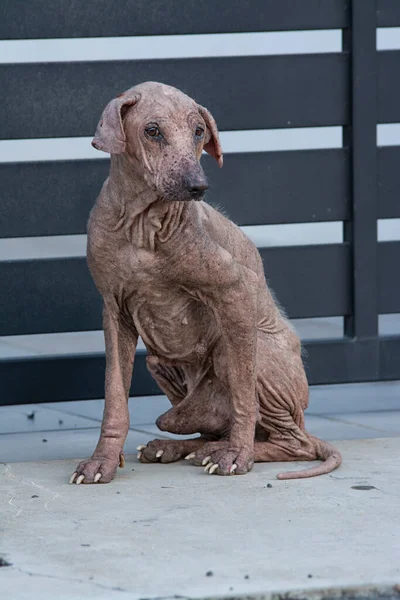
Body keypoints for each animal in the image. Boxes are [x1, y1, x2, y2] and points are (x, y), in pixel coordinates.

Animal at [69, 81, 340, 482]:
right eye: (152, 131)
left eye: (199, 132)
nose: (198, 186)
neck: (144, 224)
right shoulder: (114, 312)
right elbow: (114, 396)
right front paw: (102, 460)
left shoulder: (237, 291)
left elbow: (243, 397)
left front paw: (238, 456)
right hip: (159, 361)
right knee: (215, 427)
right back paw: (182, 447)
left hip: (248, 354)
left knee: (295, 442)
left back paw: (230, 449)